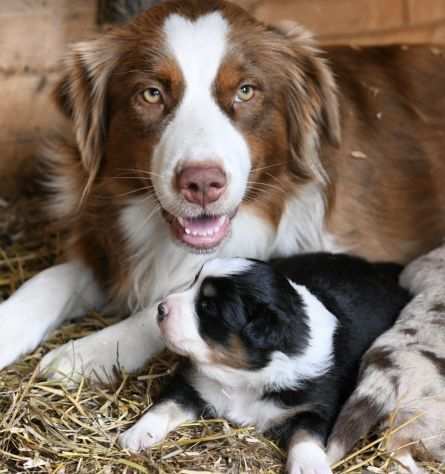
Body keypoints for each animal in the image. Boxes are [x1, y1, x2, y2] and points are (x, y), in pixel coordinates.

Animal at [0, 0, 444, 388]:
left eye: (246, 91)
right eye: (151, 93)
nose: (201, 183)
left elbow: (171, 305)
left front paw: (88, 351)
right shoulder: (107, 242)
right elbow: (48, 279)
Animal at [118, 254, 410, 472]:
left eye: (208, 307)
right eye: (193, 283)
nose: (161, 308)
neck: (244, 375)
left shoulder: (318, 406)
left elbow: (307, 434)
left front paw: (310, 466)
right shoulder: (193, 383)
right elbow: (166, 405)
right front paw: (136, 434)